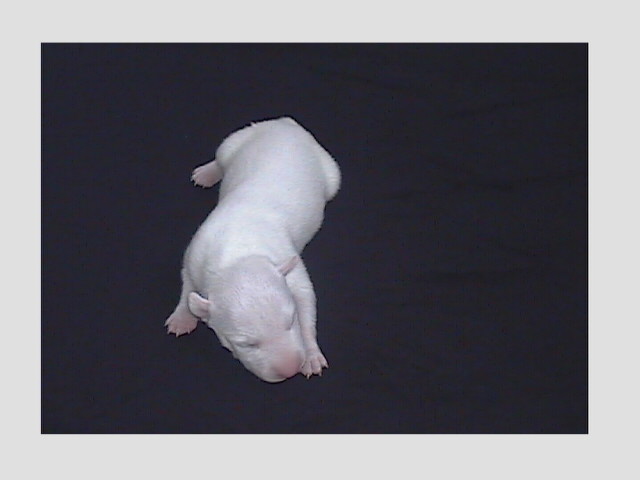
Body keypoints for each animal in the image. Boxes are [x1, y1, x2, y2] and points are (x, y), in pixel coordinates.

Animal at [164, 117, 341, 383]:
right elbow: (188, 284)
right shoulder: (195, 255)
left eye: (291, 321)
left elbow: (305, 297)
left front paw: (311, 355)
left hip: (329, 171)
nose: (289, 370)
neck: (236, 254)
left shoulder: (286, 261)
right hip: (234, 142)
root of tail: (286, 124)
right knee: (220, 157)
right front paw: (182, 317)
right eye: (246, 344)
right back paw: (207, 172)